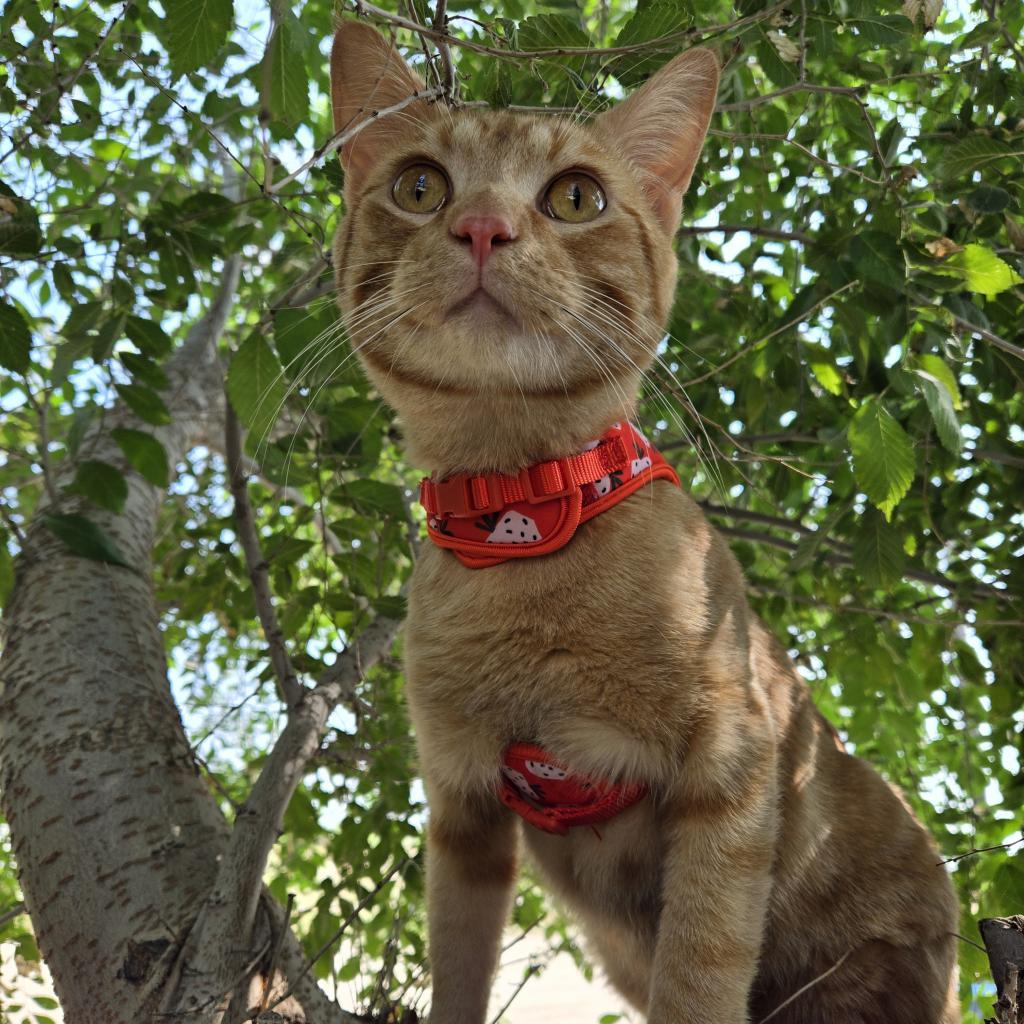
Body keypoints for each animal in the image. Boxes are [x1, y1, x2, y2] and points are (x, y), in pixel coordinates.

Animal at [325, 24, 958, 1024]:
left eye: (575, 196)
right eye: (420, 186)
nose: (483, 228)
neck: (520, 521)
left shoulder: (727, 776)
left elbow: (699, 975)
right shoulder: (464, 808)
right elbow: (457, 969)